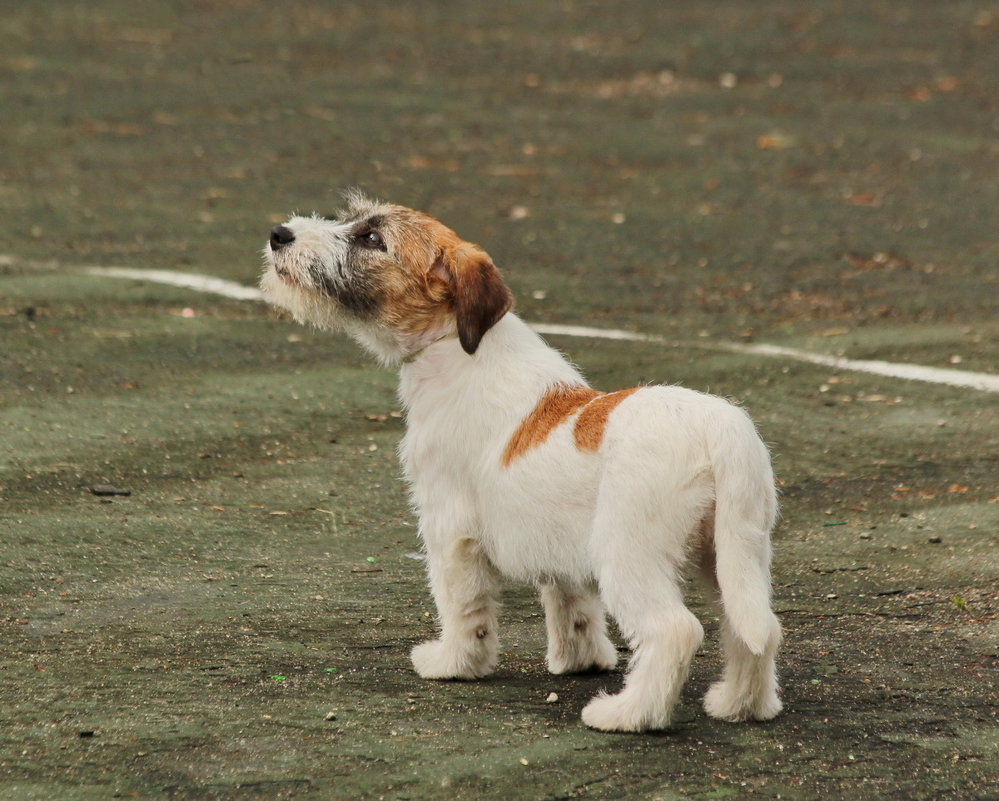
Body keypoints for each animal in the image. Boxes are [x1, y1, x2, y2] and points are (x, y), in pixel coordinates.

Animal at [262, 194, 784, 732]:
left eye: (372, 239)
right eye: (352, 218)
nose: (280, 235)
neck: (456, 344)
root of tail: (722, 430)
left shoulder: (450, 529)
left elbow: (462, 605)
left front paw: (453, 663)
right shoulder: (557, 547)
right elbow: (572, 605)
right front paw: (579, 660)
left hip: (631, 554)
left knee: (674, 630)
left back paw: (627, 713)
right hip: (734, 553)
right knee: (755, 627)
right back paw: (740, 705)